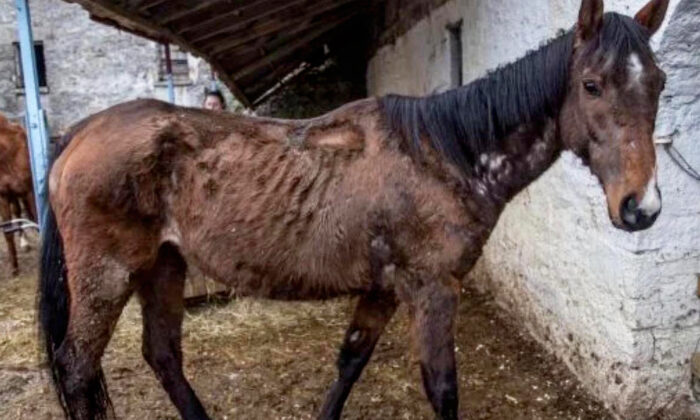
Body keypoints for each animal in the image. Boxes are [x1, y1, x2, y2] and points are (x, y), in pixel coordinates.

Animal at [38, 0, 670, 418]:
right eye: (591, 85)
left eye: (660, 84)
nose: (641, 207)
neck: (443, 154)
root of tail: (82, 132)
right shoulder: (433, 290)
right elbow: (442, 389)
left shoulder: (383, 289)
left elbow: (350, 362)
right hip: (106, 275)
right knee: (76, 366)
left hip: (162, 267)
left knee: (163, 355)